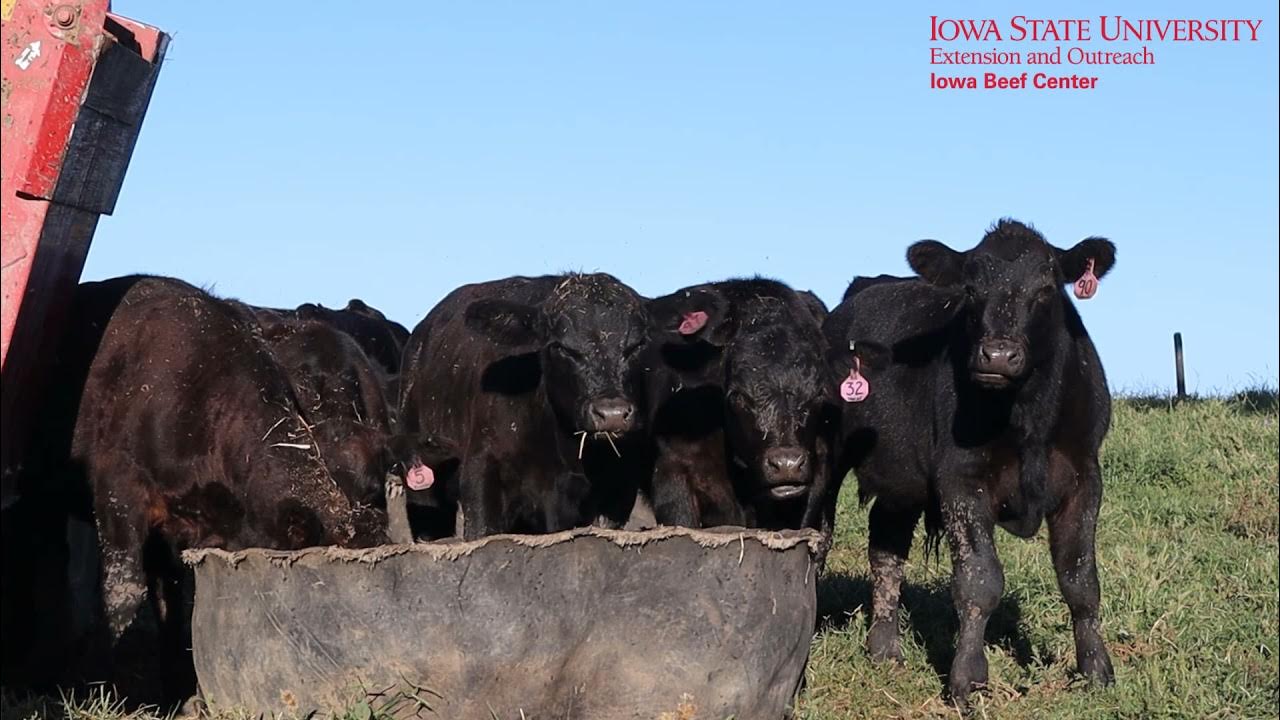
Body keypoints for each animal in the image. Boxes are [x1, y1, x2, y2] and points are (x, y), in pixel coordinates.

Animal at [824, 219, 1116, 705]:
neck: (1027, 415)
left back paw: (885, 650)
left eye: (1046, 287)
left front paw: (1097, 671)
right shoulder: (961, 481)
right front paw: (968, 680)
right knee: (820, 534)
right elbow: (980, 580)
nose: (997, 355)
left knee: (886, 550)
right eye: (971, 290)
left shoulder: (1083, 477)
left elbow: (1080, 580)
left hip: (900, 480)